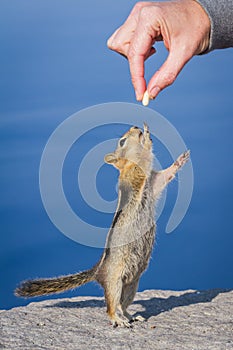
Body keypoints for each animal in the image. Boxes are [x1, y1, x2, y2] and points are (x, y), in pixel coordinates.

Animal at [15, 123, 189, 328]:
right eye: (122, 141)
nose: (136, 126)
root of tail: (99, 271)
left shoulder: (154, 184)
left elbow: (165, 176)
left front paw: (180, 159)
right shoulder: (136, 172)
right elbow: (143, 161)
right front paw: (146, 137)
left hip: (132, 285)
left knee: (122, 305)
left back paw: (130, 316)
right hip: (115, 282)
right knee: (111, 307)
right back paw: (119, 320)